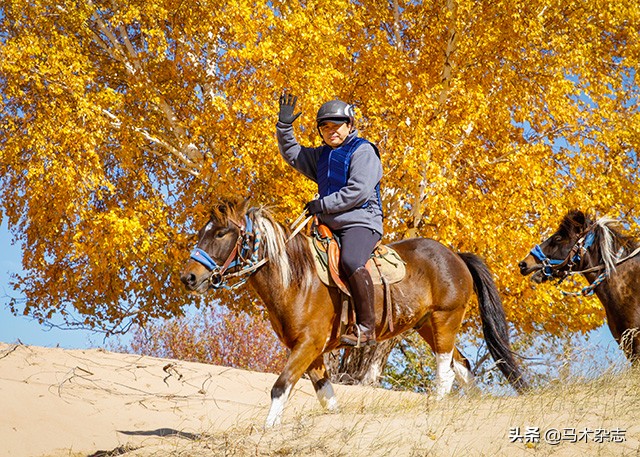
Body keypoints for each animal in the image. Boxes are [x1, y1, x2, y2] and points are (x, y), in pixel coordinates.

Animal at [180, 198, 524, 426]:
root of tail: (456, 256)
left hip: (444, 320)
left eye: (221, 234)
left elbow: (280, 387)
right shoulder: (311, 352)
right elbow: (325, 396)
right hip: (427, 325)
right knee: (462, 366)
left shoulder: (308, 345)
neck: (298, 279)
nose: (189, 278)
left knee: (445, 371)